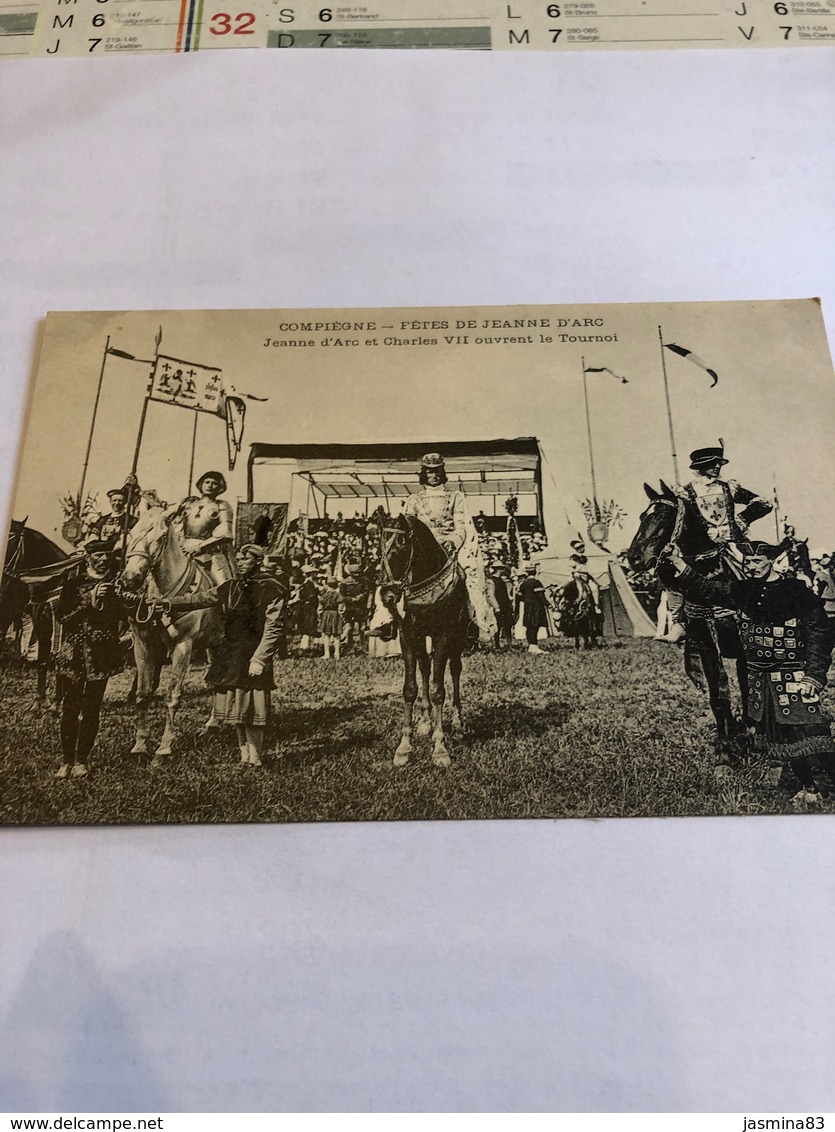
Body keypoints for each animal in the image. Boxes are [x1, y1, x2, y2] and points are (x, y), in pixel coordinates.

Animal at [120, 511, 219, 760]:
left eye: (161, 536)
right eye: (131, 533)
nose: (130, 578)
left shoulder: (183, 646)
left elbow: (172, 696)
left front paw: (164, 746)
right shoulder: (143, 645)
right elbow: (143, 694)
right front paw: (140, 744)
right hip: (214, 645)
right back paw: (212, 724)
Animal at [624, 482, 746, 747]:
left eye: (663, 517)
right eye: (642, 516)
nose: (634, 558)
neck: (710, 578)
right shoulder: (706, 644)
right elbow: (718, 694)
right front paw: (725, 742)